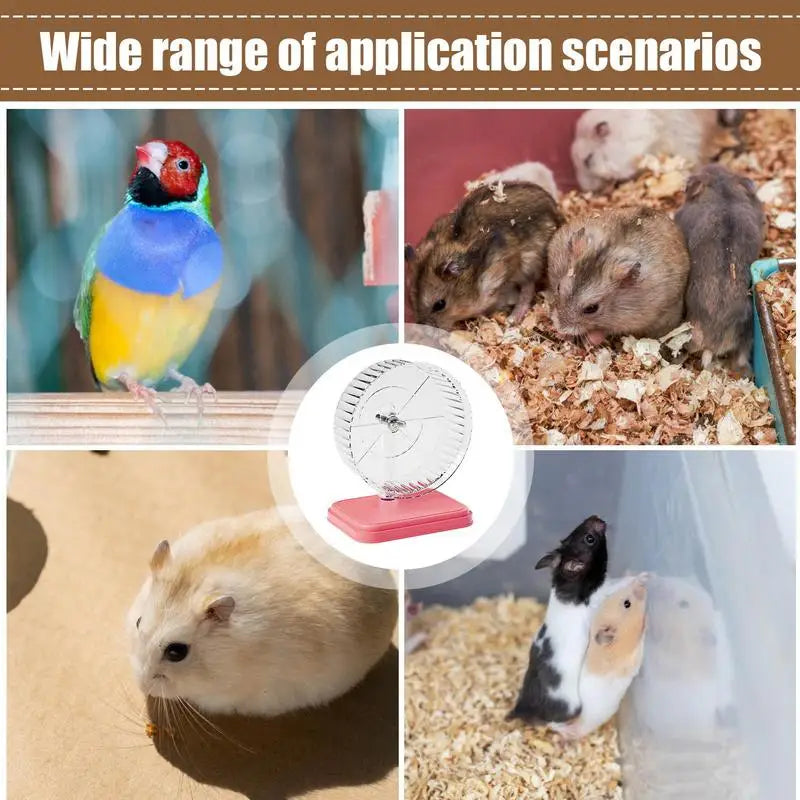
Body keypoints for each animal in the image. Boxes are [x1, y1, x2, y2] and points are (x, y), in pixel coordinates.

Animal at [407, 181, 564, 330]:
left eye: (439, 304)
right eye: (410, 300)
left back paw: (512, 318)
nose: (423, 326)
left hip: (530, 263)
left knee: (528, 289)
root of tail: (558, 214)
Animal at [547, 206, 690, 343]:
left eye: (592, 308)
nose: (559, 327)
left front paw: (591, 338)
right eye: (558, 288)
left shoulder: (634, 320)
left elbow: (605, 330)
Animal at [674, 164, 765, 370]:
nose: (710, 165)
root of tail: (715, 343)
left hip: (692, 333)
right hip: (748, 332)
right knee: (741, 355)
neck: (722, 189)